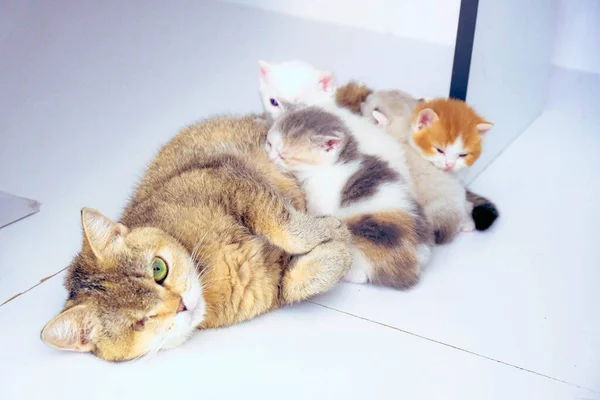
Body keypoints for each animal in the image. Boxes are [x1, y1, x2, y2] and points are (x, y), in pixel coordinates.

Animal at [41, 115, 352, 362]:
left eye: (158, 268)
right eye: (141, 322)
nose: (181, 305)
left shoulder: (230, 180)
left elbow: (283, 225)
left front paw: (328, 231)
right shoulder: (269, 286)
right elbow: (298, 282)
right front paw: (338, 251)